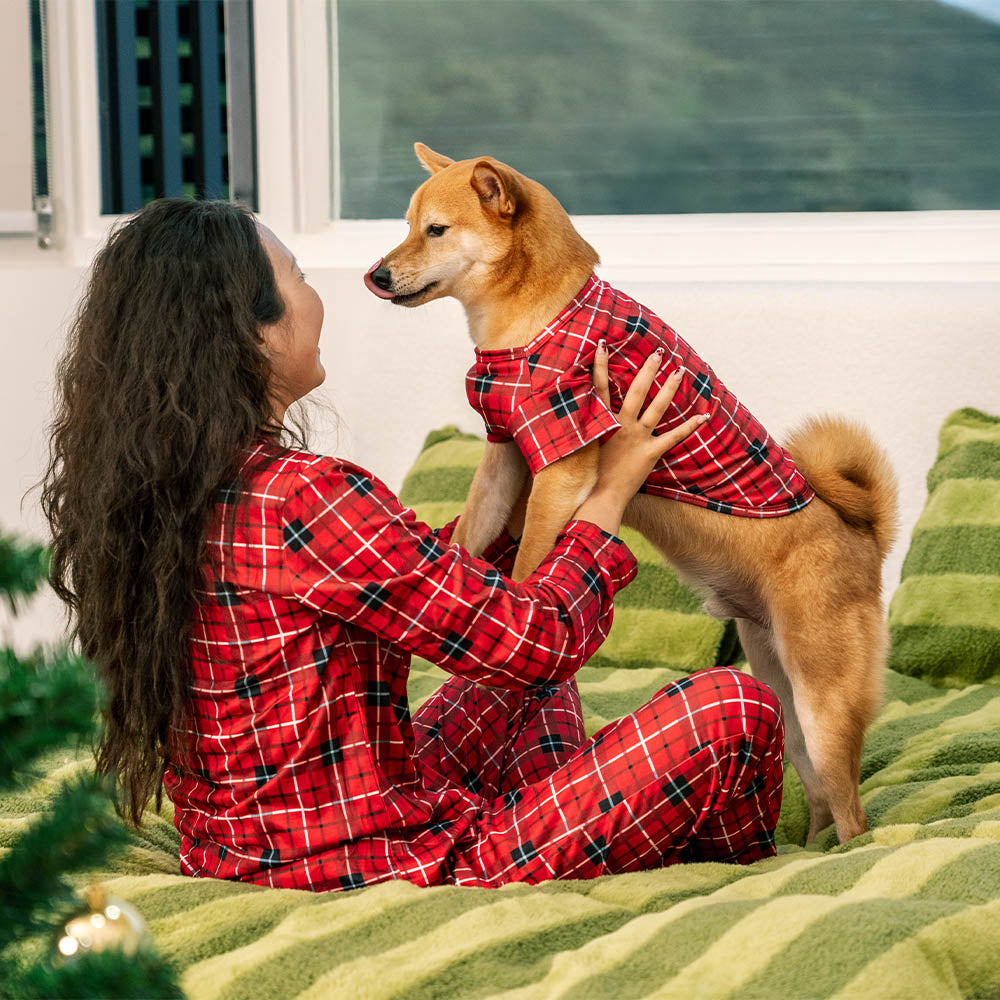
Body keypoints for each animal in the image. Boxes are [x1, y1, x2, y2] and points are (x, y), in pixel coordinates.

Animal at [366, 143, 900, 844]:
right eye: (406, 225)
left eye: (435, 230)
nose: (375, 275)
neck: (529, 319)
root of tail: (864, 535)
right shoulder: (505, 455)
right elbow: (471, 538)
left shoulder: (559, 471)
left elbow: (532, 562)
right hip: (781, 688)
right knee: (819, 802)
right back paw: (799, 853)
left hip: (822, 703)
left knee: (854, 815)